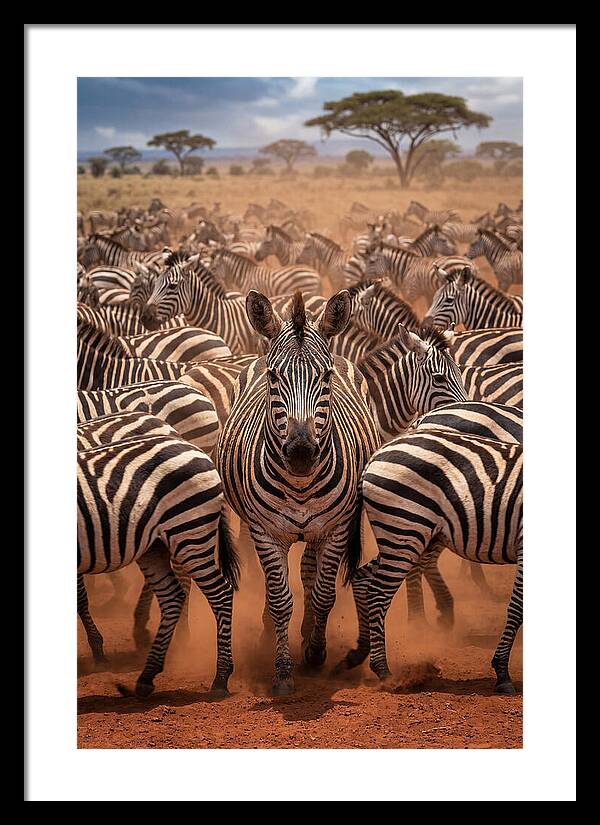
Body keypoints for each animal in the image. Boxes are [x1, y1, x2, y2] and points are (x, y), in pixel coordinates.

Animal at [77, 422, 239, 697]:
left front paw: (98, 650)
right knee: (172, 596)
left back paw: (220, 678)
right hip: (155, 546)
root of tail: (196, 449)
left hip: (189, 531)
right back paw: (147, 675)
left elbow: (80, 598)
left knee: (221, 594)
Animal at [216, 290, 380, 694]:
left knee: (309, 569)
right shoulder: (265, 532)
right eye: (274, 377)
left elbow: (323, 593)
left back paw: (308, 633)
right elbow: (279, 599)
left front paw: (316, 653)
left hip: (322, 529)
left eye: (326, 376)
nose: (302, 453)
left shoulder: (337, 528)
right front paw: (282, 670)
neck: (302, 485)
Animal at [342, 428, 523, 694]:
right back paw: (383, 671)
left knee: (362, 578)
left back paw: (359, 652)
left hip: (402, 535)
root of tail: (377, 454)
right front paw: (502, 672)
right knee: (377, 593)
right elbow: (517, 608)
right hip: (405, 529)